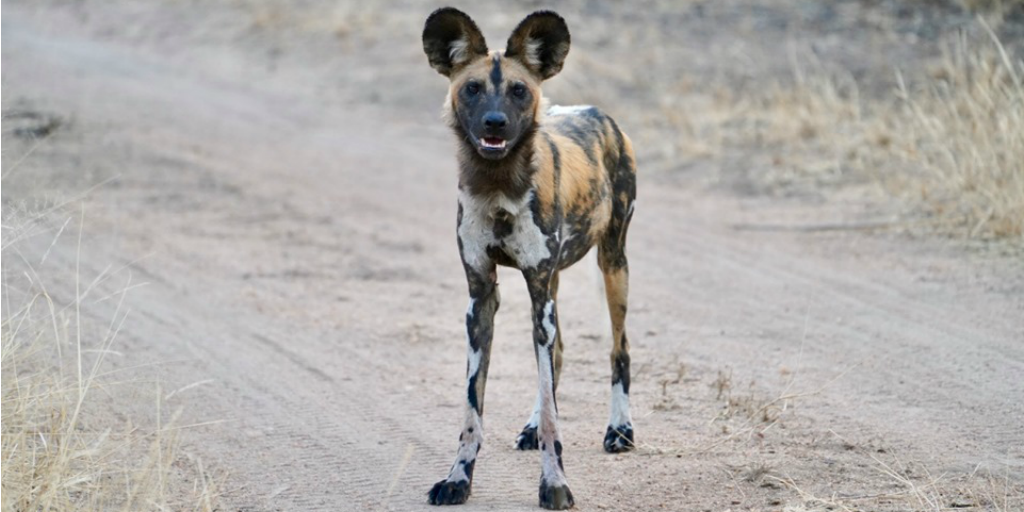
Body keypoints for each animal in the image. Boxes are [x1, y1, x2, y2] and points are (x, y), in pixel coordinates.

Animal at [421, 7, 630, 507]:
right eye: (473, 88)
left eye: (518, 90)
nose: (495, 123)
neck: (498, 185)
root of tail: (595, 111)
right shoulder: (482, 298)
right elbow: (472, 410)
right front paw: (458, 479)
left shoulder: (538, 289)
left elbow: (556, 411)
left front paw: (554, 484)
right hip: (552, 289)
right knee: (556, 357)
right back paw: (534, 425)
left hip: (612, 265)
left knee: (619, 351)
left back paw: (619, 429)